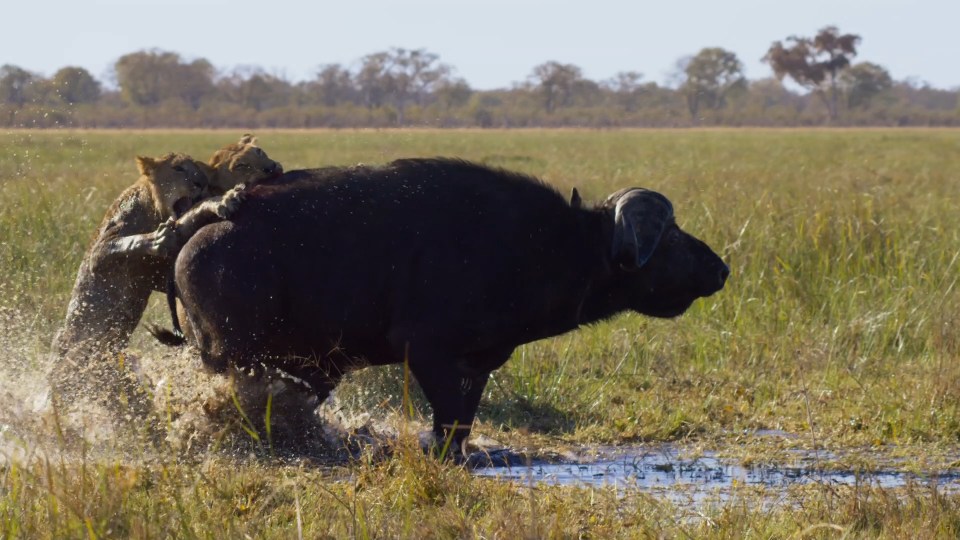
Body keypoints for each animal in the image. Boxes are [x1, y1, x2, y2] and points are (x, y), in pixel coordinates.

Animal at [172, 157, 728, 452]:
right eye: (670, 236)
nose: (721, 270)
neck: (548, 244)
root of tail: (198, 236)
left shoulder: (477, 365)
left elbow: (459, 427)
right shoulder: (428, 352)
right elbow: (447, 422)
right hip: (234, 357)